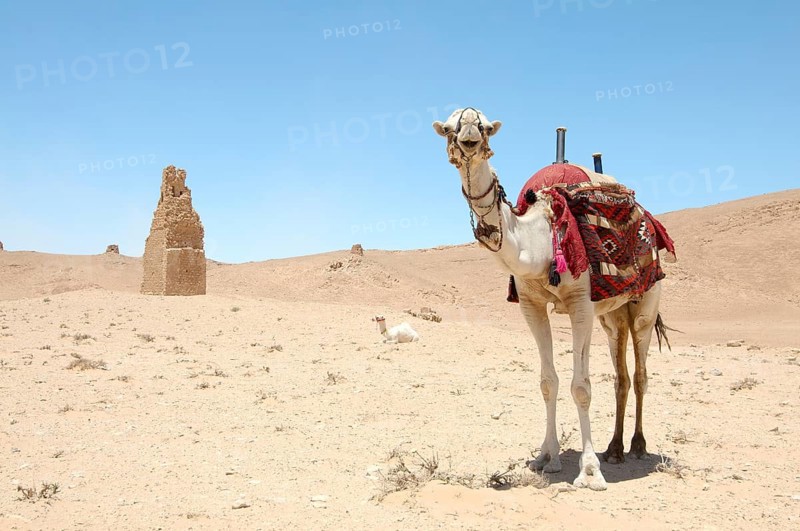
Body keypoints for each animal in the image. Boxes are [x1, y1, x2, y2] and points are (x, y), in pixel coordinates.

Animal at [432, 108, 673, 490]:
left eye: (484, 126)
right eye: (449, 127)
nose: (469, 138)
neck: (539, 241)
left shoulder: (581, 304)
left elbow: (581, 386)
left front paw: (589, 472)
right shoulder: (531, 305)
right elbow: (548, 382)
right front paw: (548, 457)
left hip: (646, 304)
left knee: (640, 372)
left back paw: (636, 446)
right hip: (611, 316)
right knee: (620, 374)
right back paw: (614, 449)